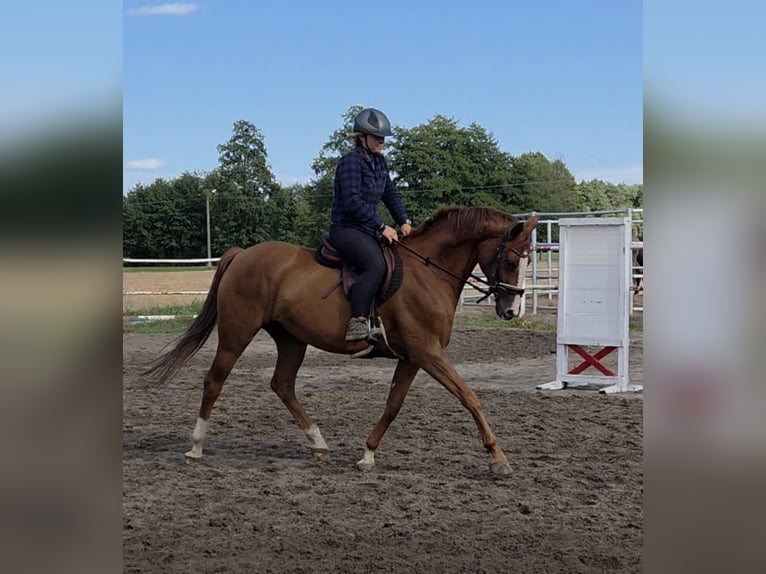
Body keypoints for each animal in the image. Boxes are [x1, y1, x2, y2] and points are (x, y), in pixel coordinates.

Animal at [144, 206, 540, 475]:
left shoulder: (412, 357)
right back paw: (195, 447)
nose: (512, 310)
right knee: (215, 380)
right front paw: (498, 457)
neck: (428, 273)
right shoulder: (428, 353)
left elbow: (393, 405)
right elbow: (470, 397)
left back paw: (318, 443)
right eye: (510, 260)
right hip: (236, 333)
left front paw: (367, 454)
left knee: (282, 384)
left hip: (291, 339)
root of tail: (242, 254)